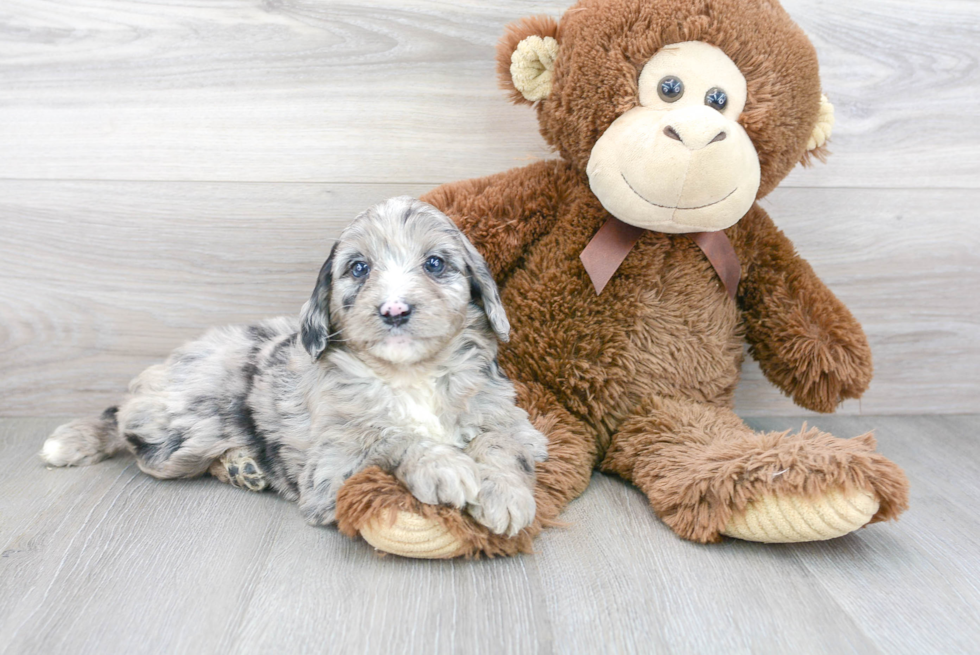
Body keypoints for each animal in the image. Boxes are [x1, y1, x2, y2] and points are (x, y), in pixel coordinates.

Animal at [42, 199, 548, 540]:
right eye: (358, 268)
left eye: (435, 263)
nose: (394, 310)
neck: (410, 375)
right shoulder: (331, 469)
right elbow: (389, 436)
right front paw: (443, 465)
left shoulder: (511, 419)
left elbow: (502, 444)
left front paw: (506, 494)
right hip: (184, 433)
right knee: (125, 429)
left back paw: (243, 467)